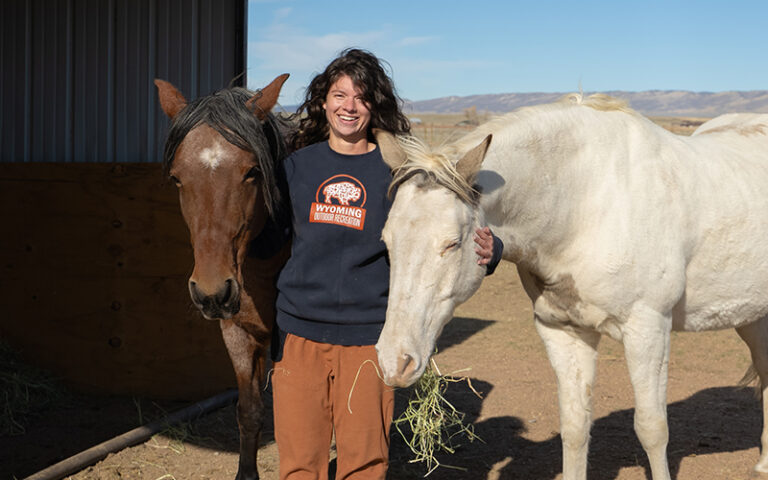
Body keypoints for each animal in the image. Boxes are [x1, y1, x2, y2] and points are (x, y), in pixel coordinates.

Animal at [372, 95, 768, 480]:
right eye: (386, 242)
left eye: (452, 243)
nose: (395, 362)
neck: (586, 204)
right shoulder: (563, 331)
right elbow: (576, 428)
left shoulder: (649, 330)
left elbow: (652, 428)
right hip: (753, 318)